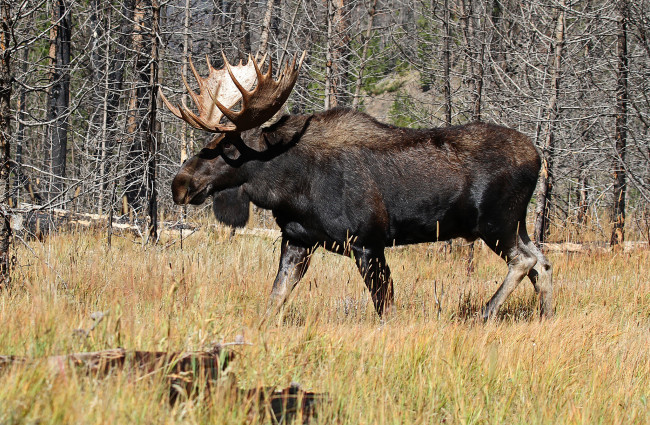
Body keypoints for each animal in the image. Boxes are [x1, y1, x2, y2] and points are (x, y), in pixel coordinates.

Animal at [161, 52, 552, 318]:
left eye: (227, 148)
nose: (179, 184)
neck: (291, 187)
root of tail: (538, 157)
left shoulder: (367, 242)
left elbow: (385, 308)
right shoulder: (298, 240)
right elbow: (275, 299)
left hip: (496, 222)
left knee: (525, 261)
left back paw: (484, 312)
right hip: (516, 223)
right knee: (542, 262)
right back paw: (546, 316)